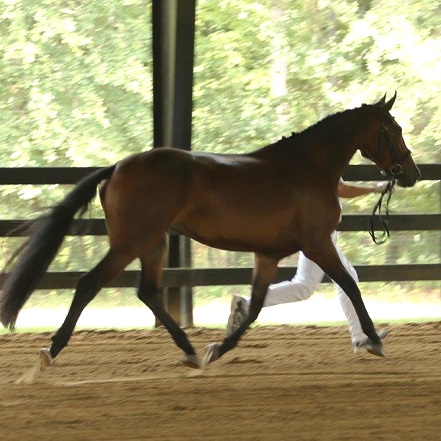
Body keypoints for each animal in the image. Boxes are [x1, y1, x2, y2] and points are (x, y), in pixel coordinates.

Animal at [0, 93, 420, 372]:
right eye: (394, 128)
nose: (411, 173)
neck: (306, 167)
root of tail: (117, 167)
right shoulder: (316, 245)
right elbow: (350, 286)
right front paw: (375, 340)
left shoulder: (267, 255)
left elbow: (255, 307)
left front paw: (218, 347)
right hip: (131, 242)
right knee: (89, 284)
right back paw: (52, 350)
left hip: (155, 243)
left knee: (148, 292)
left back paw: (189, 350)